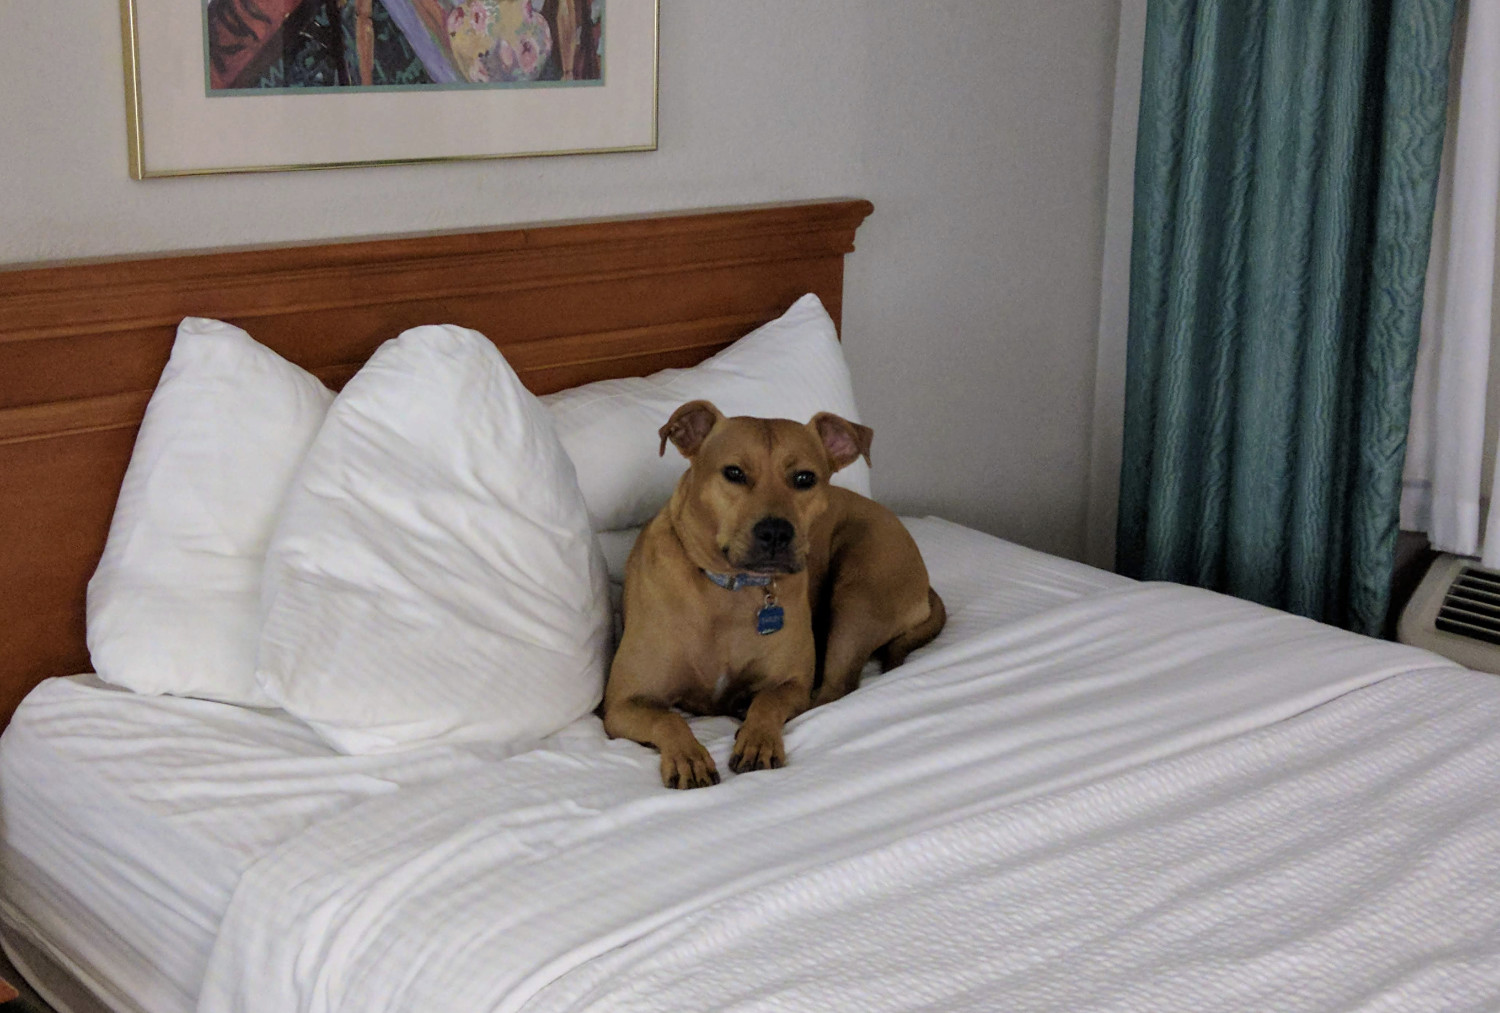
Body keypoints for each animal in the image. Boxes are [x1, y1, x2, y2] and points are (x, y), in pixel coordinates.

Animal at [600, 399, 942, 786]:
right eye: (734, 473)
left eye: (804, 479)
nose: (776, 531)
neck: (730, 590)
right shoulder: (624, 702)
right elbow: (667, 718)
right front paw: (688, 756)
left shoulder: (791, 684)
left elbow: (769, 701)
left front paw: (758, 738)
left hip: (859, 593)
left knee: (833, 690)